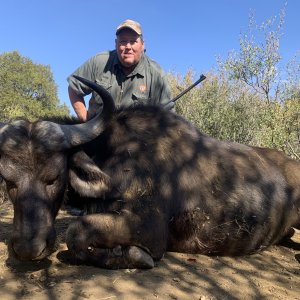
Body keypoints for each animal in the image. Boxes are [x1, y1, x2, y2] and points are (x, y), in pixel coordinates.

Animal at [0, 76, 298, 268]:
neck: (113, 153)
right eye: (8, 182)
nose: (28, 248)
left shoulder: (149, 229)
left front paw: (132, 256)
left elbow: (76, 232)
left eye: (53, 178)